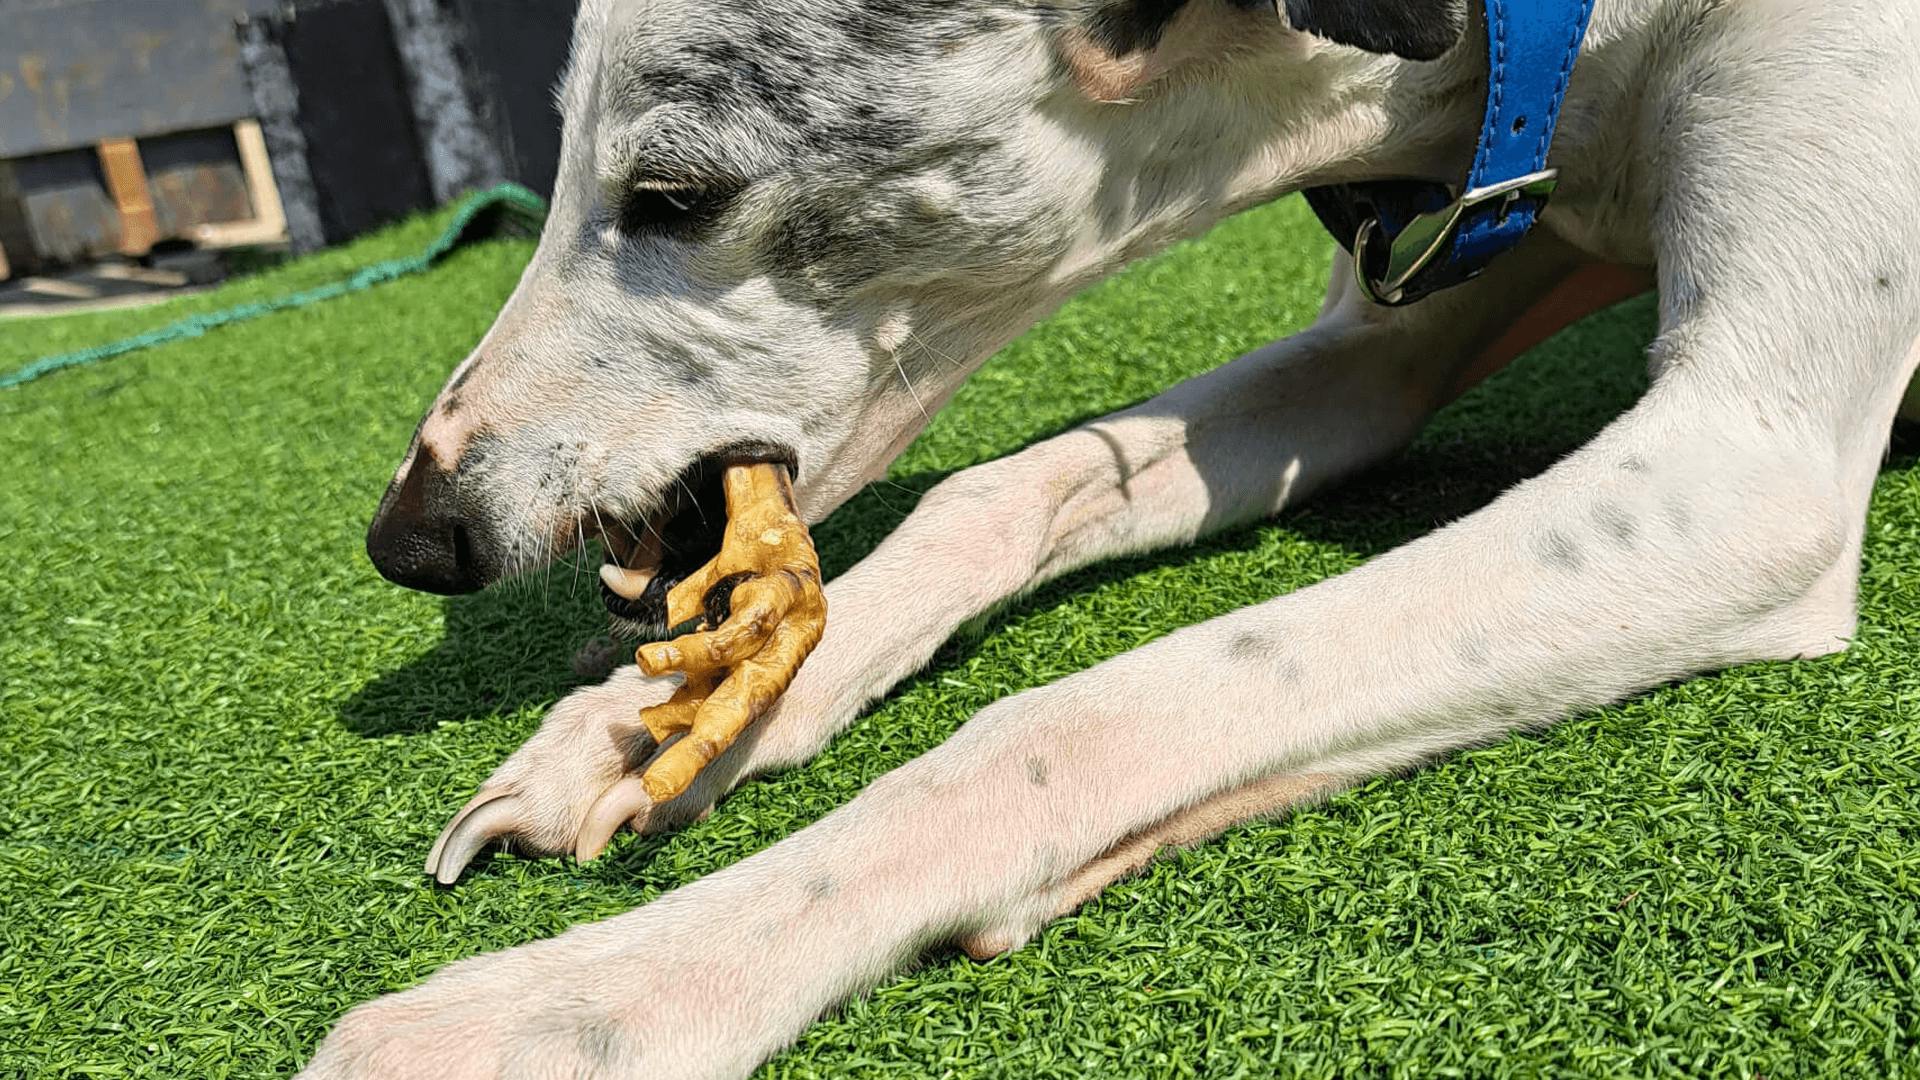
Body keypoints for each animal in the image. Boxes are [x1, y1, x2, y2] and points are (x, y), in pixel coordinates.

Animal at [307, 2, 1912, 1068]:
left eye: (676, 195)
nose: (412, 538)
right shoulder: (1398, 329)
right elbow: (1001, 488)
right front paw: (623, 731)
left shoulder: (1732, 475)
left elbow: (1070, 716)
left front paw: (587, 999)